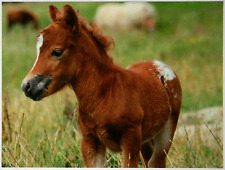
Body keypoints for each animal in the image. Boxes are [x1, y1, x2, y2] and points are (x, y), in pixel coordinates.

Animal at [21, 4, 182, 168]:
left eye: (57, 51)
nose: (27, 86)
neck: (104, 95)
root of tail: (156, 63)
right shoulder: (90, 142)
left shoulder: (131, 140)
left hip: (166, 131)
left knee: (157, 161)